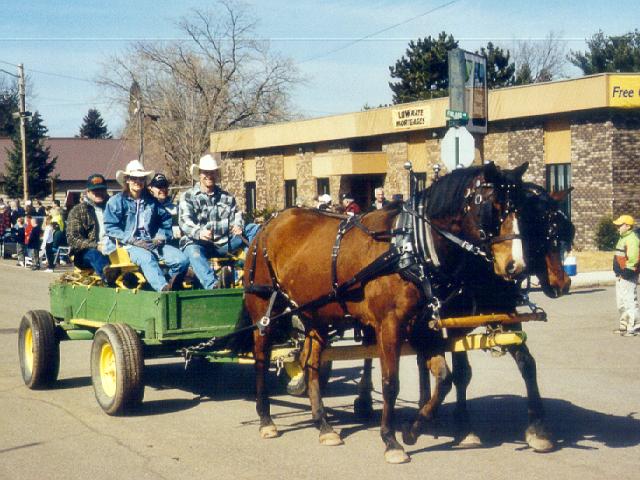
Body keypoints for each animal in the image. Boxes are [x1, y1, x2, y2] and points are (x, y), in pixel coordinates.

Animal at [240, 163, 528, 464]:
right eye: (492, 206)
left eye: (521, 208)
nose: (515, 265)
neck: (409, 245)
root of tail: (269, 223)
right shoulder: (390, 325)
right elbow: (390, 382)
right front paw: (390, 440)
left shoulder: (421, 327)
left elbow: (444, 378)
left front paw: (413, 429)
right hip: (264, 310)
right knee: (261, 358)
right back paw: (266, 419)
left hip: (315, 314)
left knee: (311, 363)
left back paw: (323, 424)